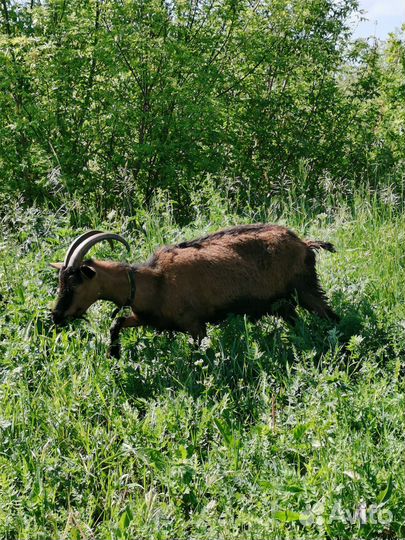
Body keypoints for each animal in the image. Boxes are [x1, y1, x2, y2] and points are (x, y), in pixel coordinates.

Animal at [50, 225, 338, 356]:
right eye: (60, 281)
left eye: (74, 283)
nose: (56, 316)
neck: (153, 282)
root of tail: (304, 243)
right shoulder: (148, 318)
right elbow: (117, 322)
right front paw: (114, 354)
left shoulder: (195, 325)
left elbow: (196, 353)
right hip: (284, 304)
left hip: (306, 289)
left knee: (330, 315)